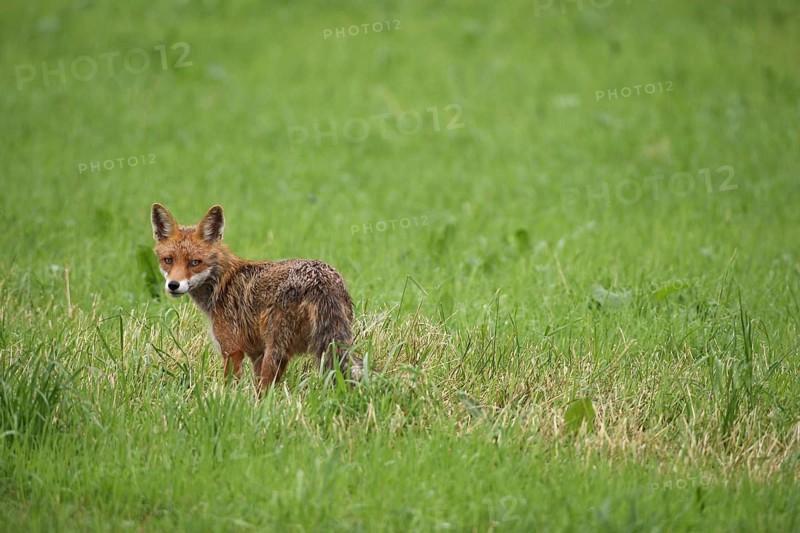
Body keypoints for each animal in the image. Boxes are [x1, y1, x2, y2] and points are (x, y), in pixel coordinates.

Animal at [150, 203, 362, 394]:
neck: (222, 283)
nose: (173, 285)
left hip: (276, 351)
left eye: (195, 262)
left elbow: (230, 388)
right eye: (168, 260)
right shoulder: (256, 354)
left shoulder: (232, 350)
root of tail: (320, 279)